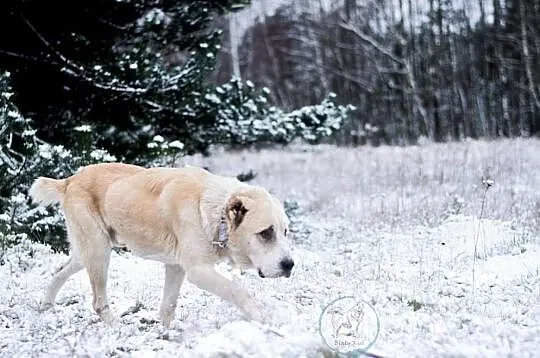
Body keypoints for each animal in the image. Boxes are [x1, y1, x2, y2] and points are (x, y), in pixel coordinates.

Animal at [29, 164, 294, 326]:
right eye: (266, 233)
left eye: (285, 232)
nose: (290, 265)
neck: (216, 212)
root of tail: (70, 180)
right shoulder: (198, 271)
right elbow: (237, 290)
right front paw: (261, 318)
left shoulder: (176, 268)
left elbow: (168, 306)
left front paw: (164, 336)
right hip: (98, 252)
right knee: (98, 302)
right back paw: (117, 328)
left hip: (87, 252)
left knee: (58, 272)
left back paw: (45, 306)